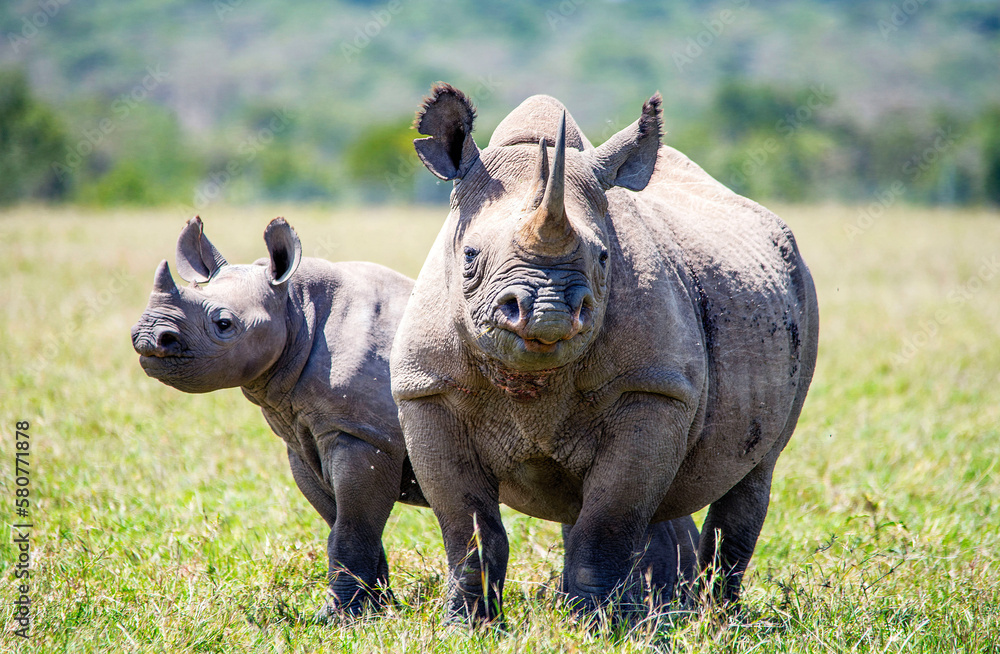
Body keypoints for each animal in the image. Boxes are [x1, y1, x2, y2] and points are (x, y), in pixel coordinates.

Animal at [130, 216, 427, 616]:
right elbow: (343, 523)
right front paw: (377, 610)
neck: (297, 309)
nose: (148, 337)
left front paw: (337, 617)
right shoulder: (303, 437)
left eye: (224, 324)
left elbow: (351, 528)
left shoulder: (364, 434)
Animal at [390, 85, 819, 623]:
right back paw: (661, 609)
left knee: (756, 469)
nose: (548, 312)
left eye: (603, 257)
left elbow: (609, 519)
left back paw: (712, 617)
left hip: (801, 286)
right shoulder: (429, 390)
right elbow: (466, 526)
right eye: (469, 256)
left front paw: (590, 624)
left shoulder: (651, 387)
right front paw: (467, 625)